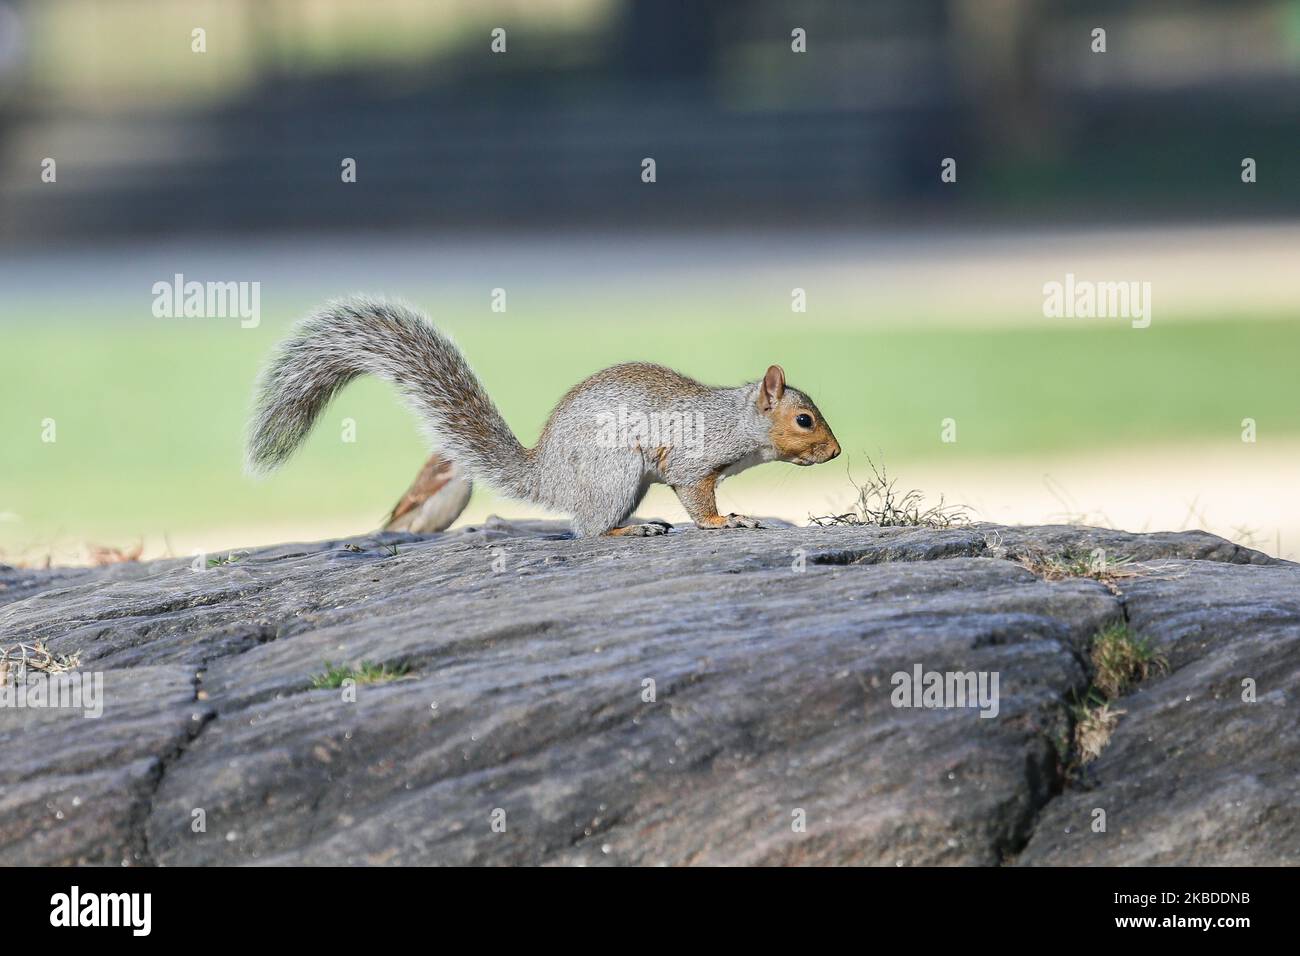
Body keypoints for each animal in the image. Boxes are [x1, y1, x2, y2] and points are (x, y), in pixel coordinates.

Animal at [246, 296, 841, 538]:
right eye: (805, 420)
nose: (836, 452)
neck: (737, 421)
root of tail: (548, 474)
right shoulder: (693, 460)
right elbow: (698, 497)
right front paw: (726, 520)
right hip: (615, 472)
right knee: (587, 529)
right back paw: (632, 530)